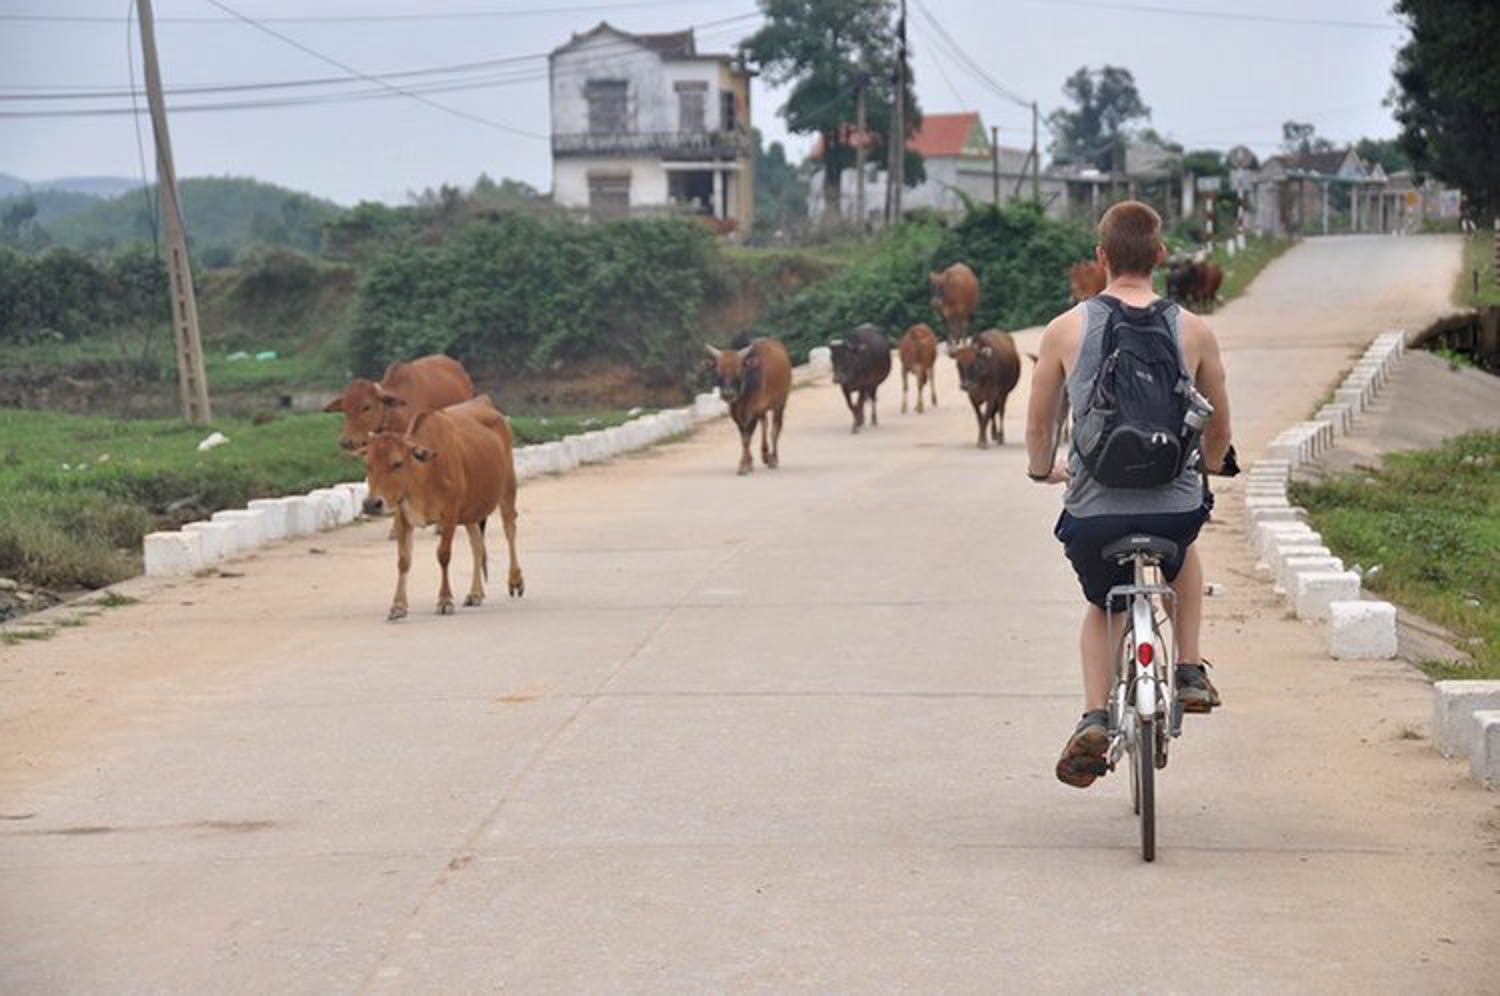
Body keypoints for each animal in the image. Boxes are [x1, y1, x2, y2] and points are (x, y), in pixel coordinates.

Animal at [360, 399, 525, 624]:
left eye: (397, 463)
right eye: (368, 464)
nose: (371, 504)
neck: (423, 476)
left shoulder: (449, 515)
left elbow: (443, 555)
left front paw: (445, 600)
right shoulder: (402, 518)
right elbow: (403, 561)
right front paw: (398, 606)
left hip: (508, 487)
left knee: (510, 530)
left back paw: (515, 580)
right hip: (471, 511)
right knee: (478, 546)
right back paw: (475, 593)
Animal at [705, 339, 792, 474]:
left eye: (738, 370)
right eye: (718, 371)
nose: (728, 394)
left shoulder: (753, 412)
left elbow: (747, 438)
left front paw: (744, 465)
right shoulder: (736, 414)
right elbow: (743, 437)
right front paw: (748, 462)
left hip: (780, 403)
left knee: (775, 429)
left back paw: (773, 458)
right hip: (763, 410)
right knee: (765, 424)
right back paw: (765, 454)